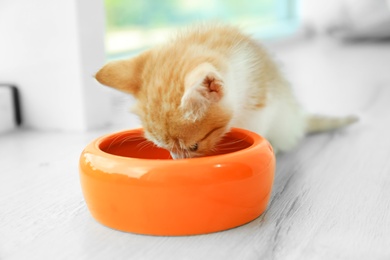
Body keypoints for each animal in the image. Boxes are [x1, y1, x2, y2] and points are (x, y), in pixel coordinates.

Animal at [96, 24, 358, 158]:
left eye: (194, 147)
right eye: (163, 148)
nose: (177, 161)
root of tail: (299, 117)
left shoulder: (261, 103)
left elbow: (256, 129)